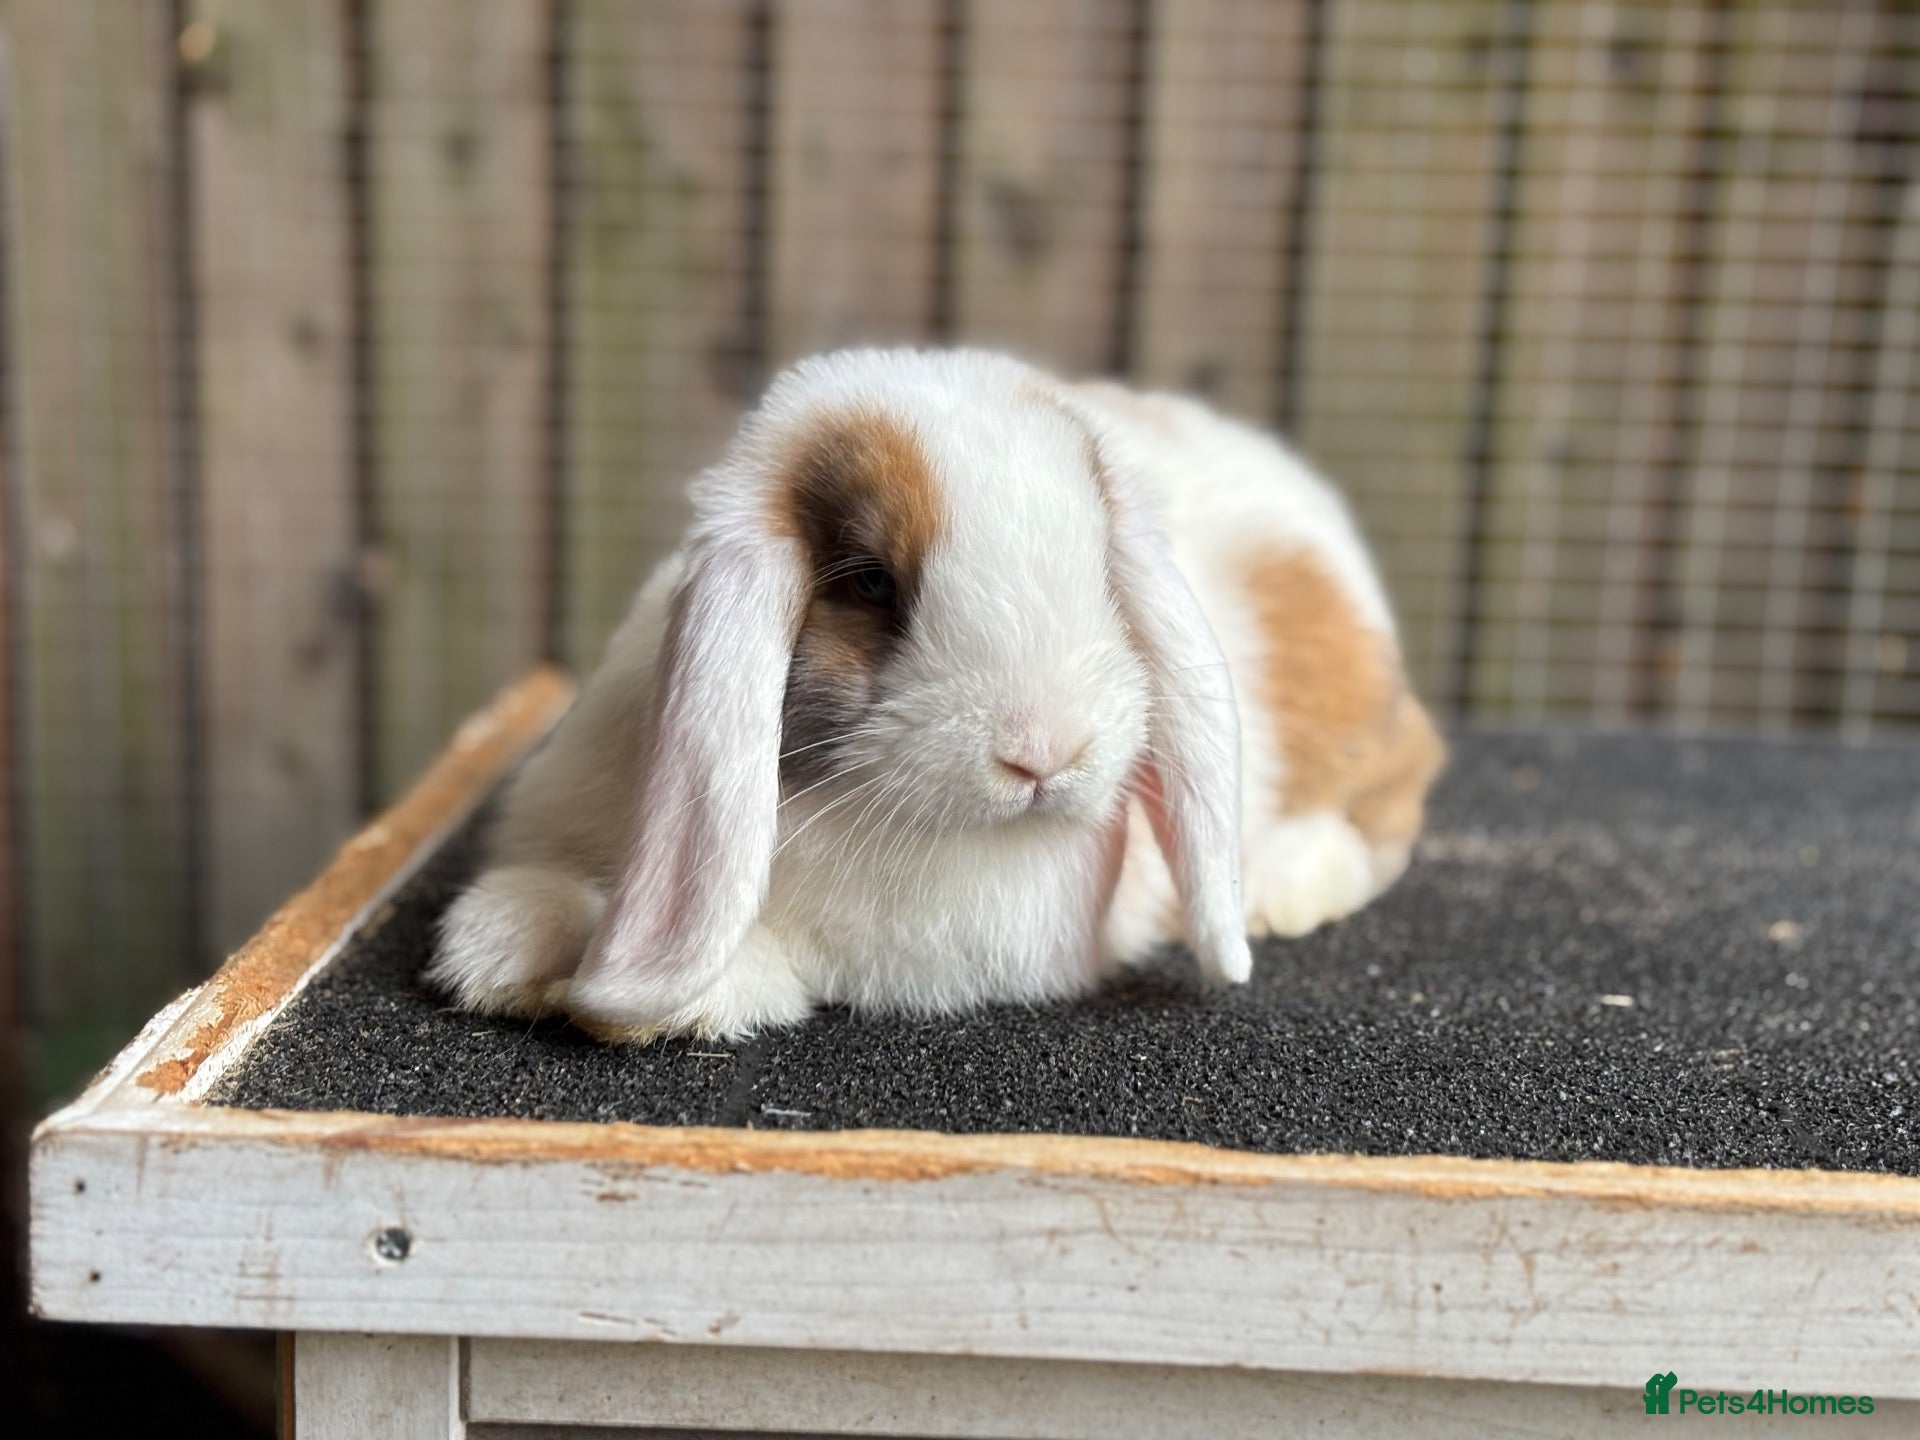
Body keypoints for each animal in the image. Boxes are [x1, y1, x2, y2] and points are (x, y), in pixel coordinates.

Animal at [428, 348, 1444, 1041]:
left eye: (1101, 574)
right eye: (872, 582)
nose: (1044, 754)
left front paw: (679, 997)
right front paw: (501, 947)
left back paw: (1282, 885)